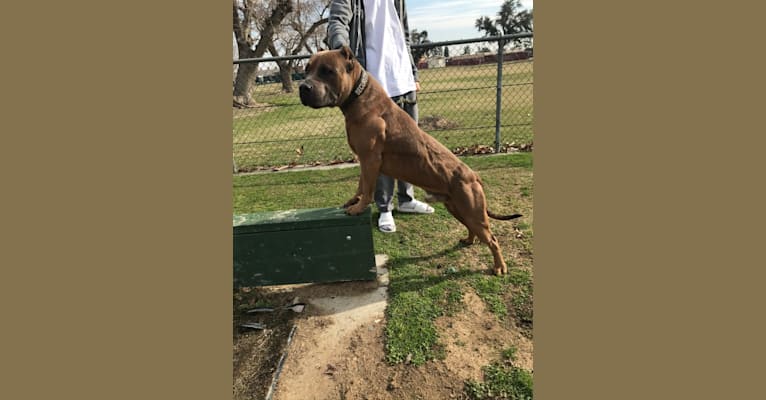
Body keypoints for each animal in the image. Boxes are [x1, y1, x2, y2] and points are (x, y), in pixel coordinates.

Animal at [300, 45, 520, 274]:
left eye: (327, 71)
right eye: (306, 70)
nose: (303, 87)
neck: (358, 97)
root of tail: (474, 176)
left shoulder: (370, 160)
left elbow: (368, 189)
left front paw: (359, 207)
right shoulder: (363, 160)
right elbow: (361, 184)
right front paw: (354, 200)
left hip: (473, 212)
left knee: (492, 239)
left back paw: (499, 266)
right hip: (458, 209)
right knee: (473, 229)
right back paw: (469, 241)